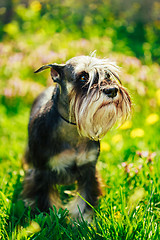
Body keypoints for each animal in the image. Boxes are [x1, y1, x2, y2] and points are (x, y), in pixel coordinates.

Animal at [22, 54, 131, 221]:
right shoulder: (43, 172)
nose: (112, 90)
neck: (72, 129)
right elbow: (47, 199)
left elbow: (84, 198)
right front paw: (53, 218)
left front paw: (82, 220)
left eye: (107, 75)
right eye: (83, 77)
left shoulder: (89, 169)